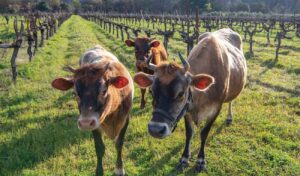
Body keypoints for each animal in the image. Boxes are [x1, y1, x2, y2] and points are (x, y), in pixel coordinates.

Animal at [51, 45, 133, 176]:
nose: (85, 123)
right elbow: (99, 148)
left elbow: (119, 144)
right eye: (74, 93)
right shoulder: (95, 124)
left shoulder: (125, 119)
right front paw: (99, 171)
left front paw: (119, 168)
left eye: (103, 91)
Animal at [133, 28, 246, 172]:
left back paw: (229, 117)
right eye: (152, 91)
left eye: (181, 93)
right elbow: (189, 133)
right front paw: (185, 157)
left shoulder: (216, 109)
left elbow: (204, 133)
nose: (155, 129)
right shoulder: (186, 110)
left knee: (231, 101)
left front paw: (200, 160)